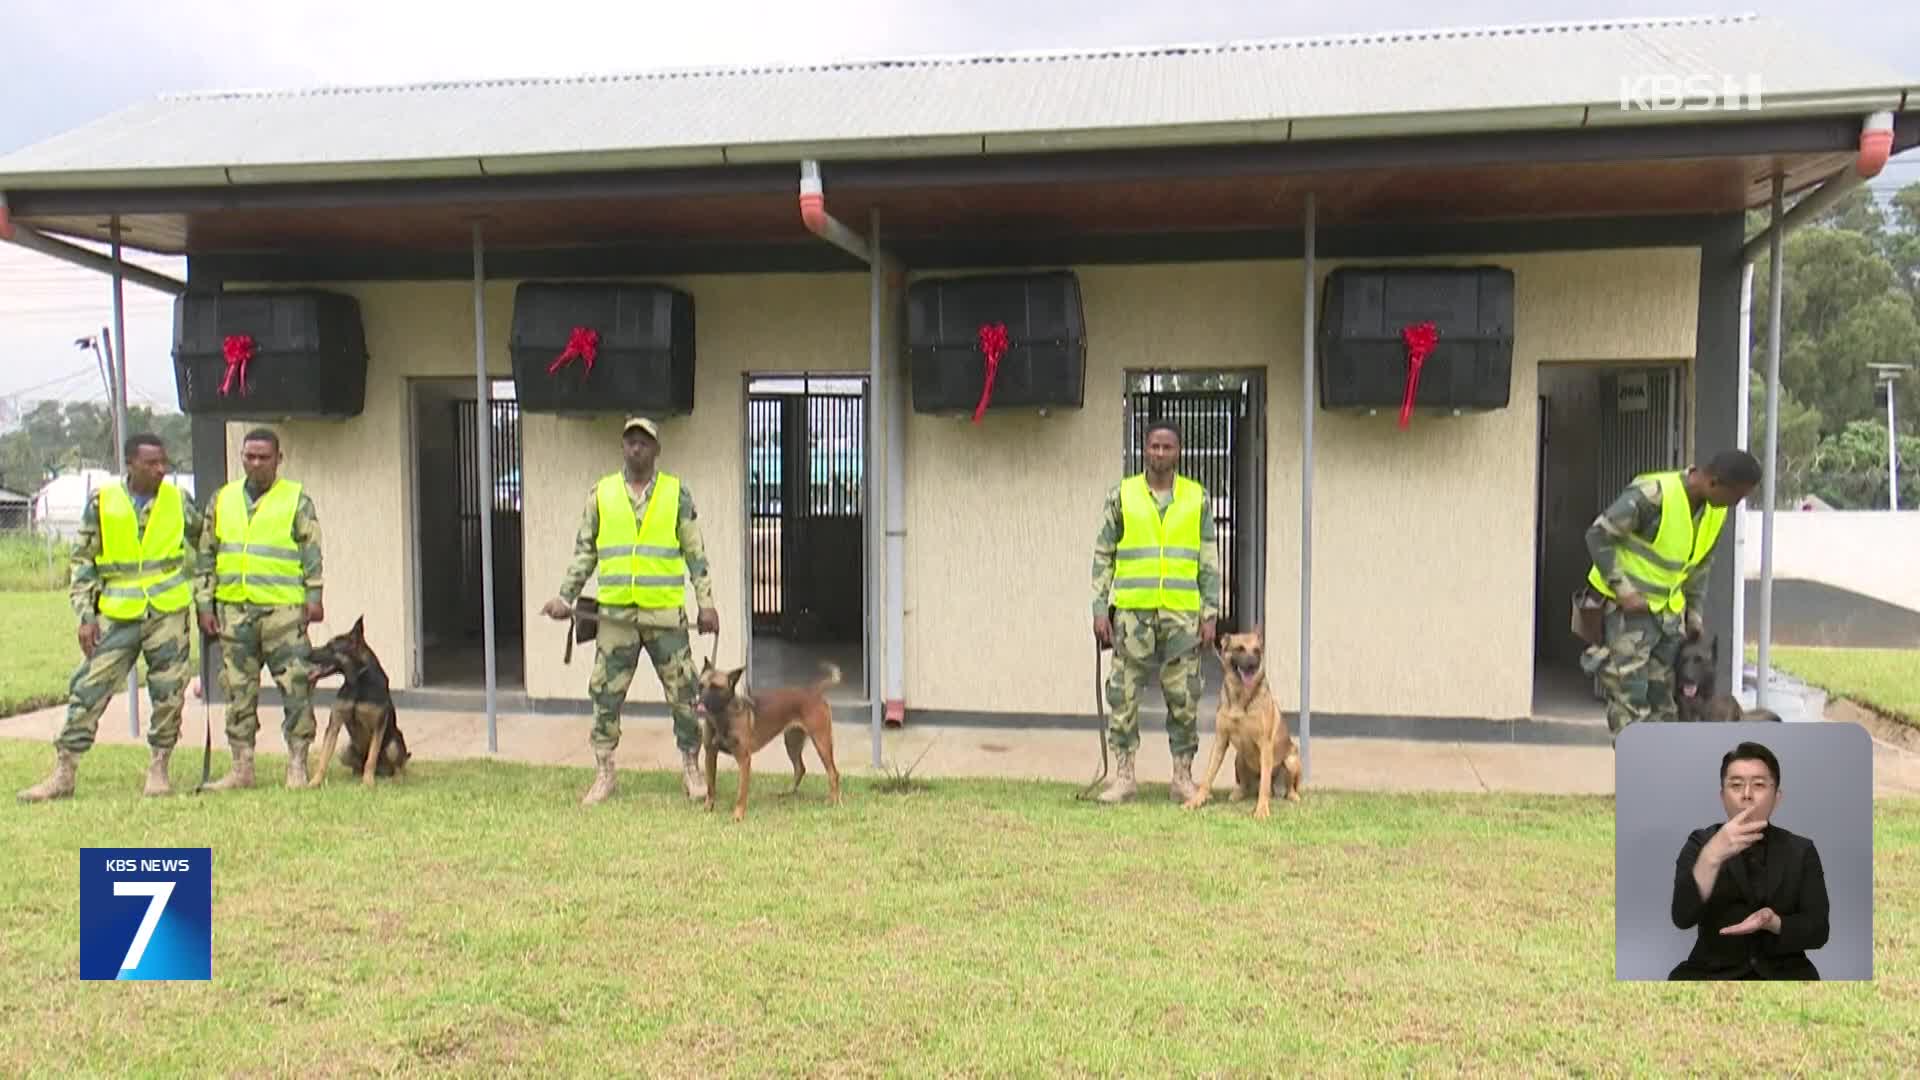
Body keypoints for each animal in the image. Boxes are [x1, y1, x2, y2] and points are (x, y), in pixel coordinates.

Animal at [303, 614, 408, 780]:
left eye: (331, 648)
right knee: (357, 767)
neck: (358, 681)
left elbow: (371, 757)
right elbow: (324, 757)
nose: (306, 654)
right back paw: (356, 776)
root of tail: (382, 772)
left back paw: (396, 779)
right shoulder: (334, 724)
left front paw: (368, 783)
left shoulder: (378, 725)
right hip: (344, 749)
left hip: (394, 743)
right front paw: (315, 782)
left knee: (398, 765)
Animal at [1182, 622, 1305, 814]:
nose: (1253, 665)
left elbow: (1264, 785)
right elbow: (1207, 777)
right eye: (1239, 649)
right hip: (1239, 757)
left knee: (1284, 786)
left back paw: (1291, 795)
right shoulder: (1220, 741)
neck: (1241, 697)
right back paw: (1238, 793)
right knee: (1246, 785)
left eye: (1256, 650)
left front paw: (1261, 810)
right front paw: (1195, 801)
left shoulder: (1265, 745)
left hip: (1291, 759)